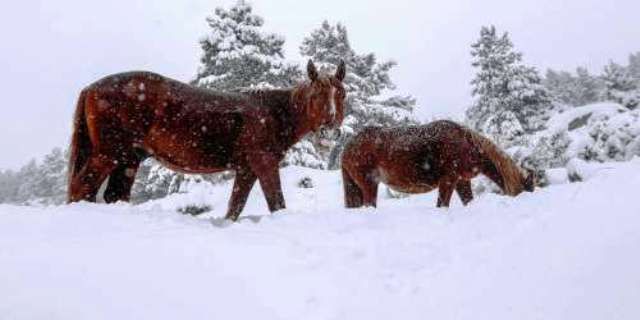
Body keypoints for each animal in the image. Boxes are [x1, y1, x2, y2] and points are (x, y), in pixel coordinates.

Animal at [68, 59, 348, 220]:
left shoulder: (247, 169)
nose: (330, 132)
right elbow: (276, 202)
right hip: (108, 154)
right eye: (316, 95)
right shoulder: (264, 163)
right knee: (81, 188)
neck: (270, 112)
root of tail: (90, 88)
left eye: (342, 94)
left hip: (128, 160)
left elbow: (235, 207)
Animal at [340, 120, 536, 208]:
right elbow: (442, 205)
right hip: (369, 184)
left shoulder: (462, 181)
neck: (467, 143)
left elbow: (468, 201)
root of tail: (347, 147)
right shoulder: (448, 180)